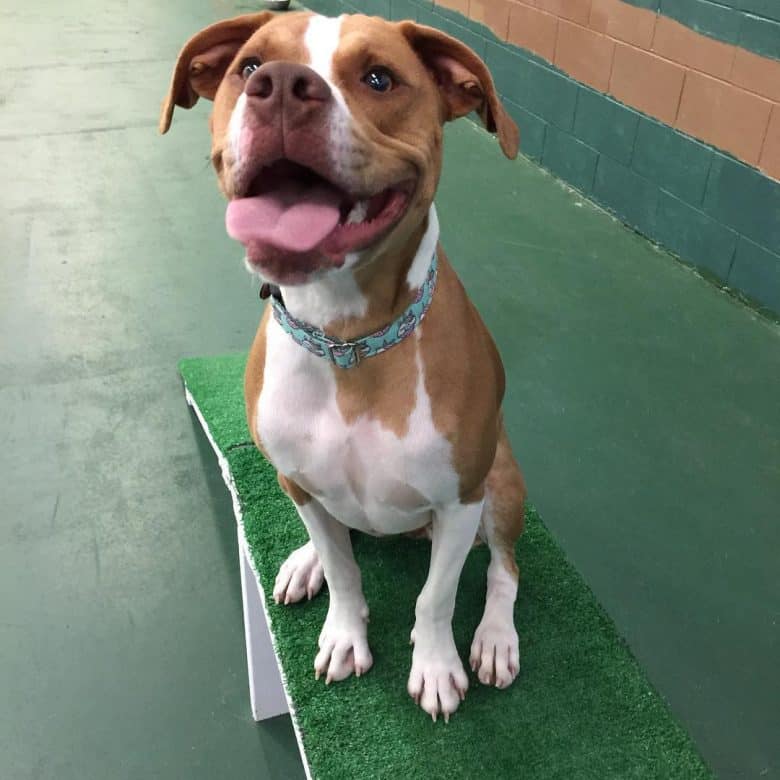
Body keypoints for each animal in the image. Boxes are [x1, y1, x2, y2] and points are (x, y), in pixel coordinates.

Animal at [163, 9, 532, 724]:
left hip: (502, 480)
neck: (348, 340)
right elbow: (344, 571)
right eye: (249, 66)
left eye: (379, 78)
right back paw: (306, 560)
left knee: (504, 570)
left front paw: (436, 666)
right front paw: (342, 630)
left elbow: (436, 597)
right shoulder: (300, 481)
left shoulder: (460, 499)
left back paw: (496, 639)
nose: (281, 86)